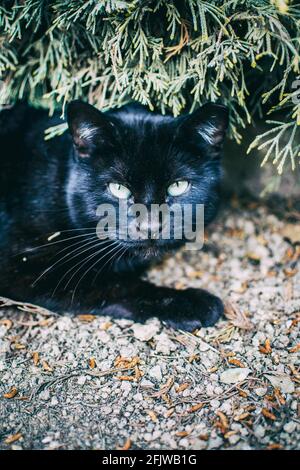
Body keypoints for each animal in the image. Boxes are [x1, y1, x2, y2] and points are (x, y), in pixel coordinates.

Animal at [0, 101, 227, 330]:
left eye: (178, 186)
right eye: (118, 188)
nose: (150, 227)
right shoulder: (24, 266)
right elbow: (116, 284)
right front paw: (190, 303)